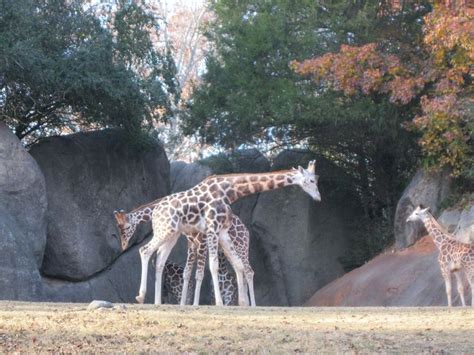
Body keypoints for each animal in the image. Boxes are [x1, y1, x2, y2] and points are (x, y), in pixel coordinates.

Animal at [114, 204, 256, 308]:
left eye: (126, 227)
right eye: (118, 227)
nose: (124, 246)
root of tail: (245, 229)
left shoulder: (201, 242)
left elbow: (199, 273)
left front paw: (195, 304)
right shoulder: (191, 243)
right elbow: (186, 272)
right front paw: (183, 303)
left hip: (240, 245)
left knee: (249, 271)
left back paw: (252, 305)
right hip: (228, 248)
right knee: (240, 268)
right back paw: (245, 303)